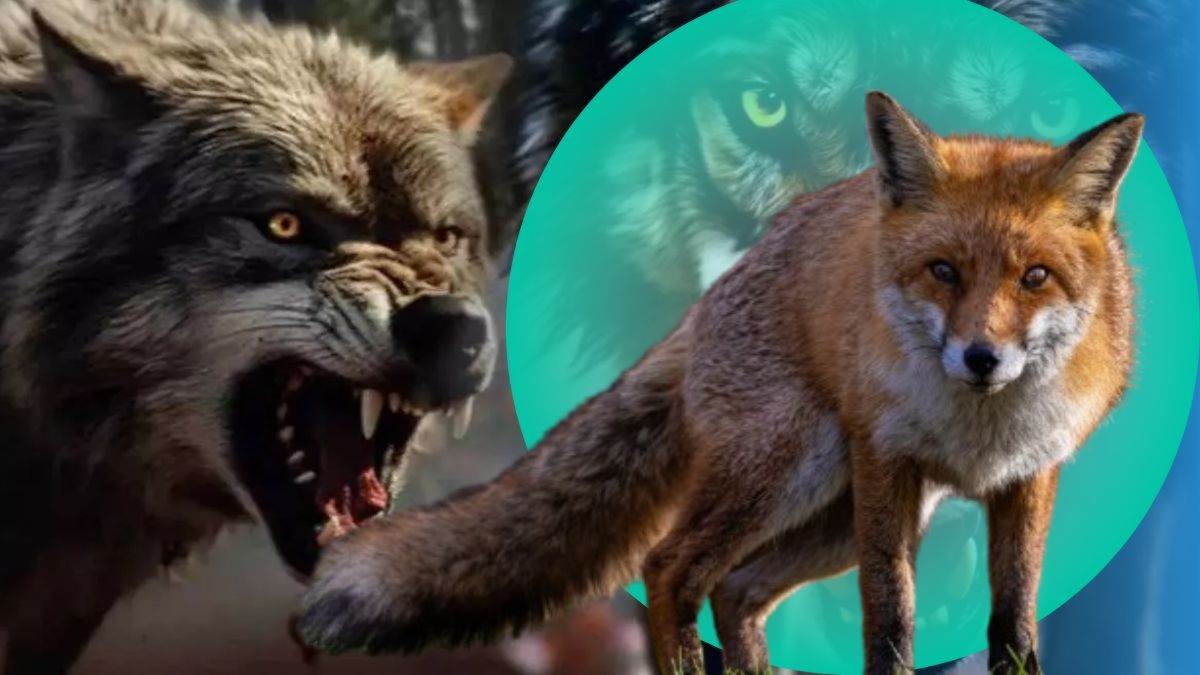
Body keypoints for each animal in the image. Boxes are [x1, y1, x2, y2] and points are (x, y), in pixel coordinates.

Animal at [298, 92, 1141, 675]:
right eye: (944, 271)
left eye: (1035, 278)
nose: (981, 358)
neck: (976, 430)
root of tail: (701, 308)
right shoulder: (886, 464)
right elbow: (890, 614)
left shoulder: (1029, 475)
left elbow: (1015, 616)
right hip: (794, 470)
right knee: (673, 569)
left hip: (833, 515)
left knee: (737, 587)